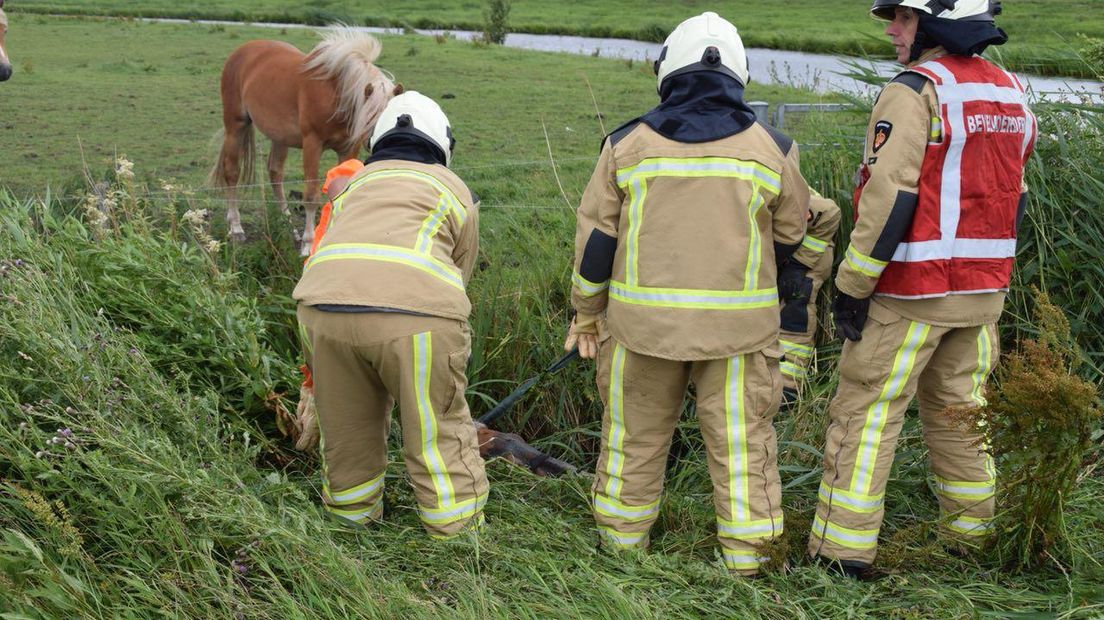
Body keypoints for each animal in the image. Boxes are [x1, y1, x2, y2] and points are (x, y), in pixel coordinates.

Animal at [208, 28, 399, 251]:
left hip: (279, 137)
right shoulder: (312, 144)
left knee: (275, 173)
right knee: (232, 172)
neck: (336, 93)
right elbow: (310, 195)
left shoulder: (348, 148)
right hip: (236, 125)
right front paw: (308, 243)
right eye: (373, 117)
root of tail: (241, 51)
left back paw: (288, 227)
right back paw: (236, 227)